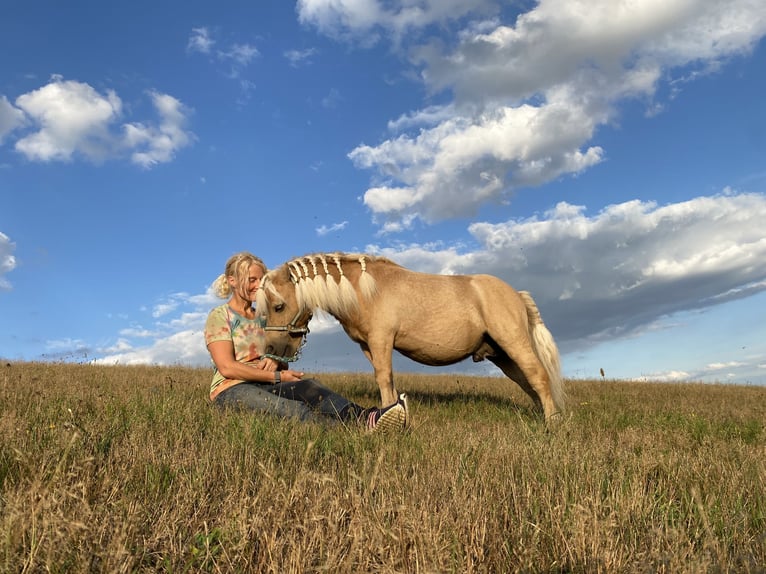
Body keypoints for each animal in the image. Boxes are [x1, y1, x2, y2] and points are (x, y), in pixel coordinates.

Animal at [255, 252, 568, 424]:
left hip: (513, 343)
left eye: (278, 306)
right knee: (529, 383)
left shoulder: (382, 340)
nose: (271, 349)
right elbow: (388, 382)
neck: (365, 290)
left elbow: (384, 378)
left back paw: (551, 424)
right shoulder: (368, 346)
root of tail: (516, 294)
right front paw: (392, 410)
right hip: (502, 355)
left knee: (538, 376)